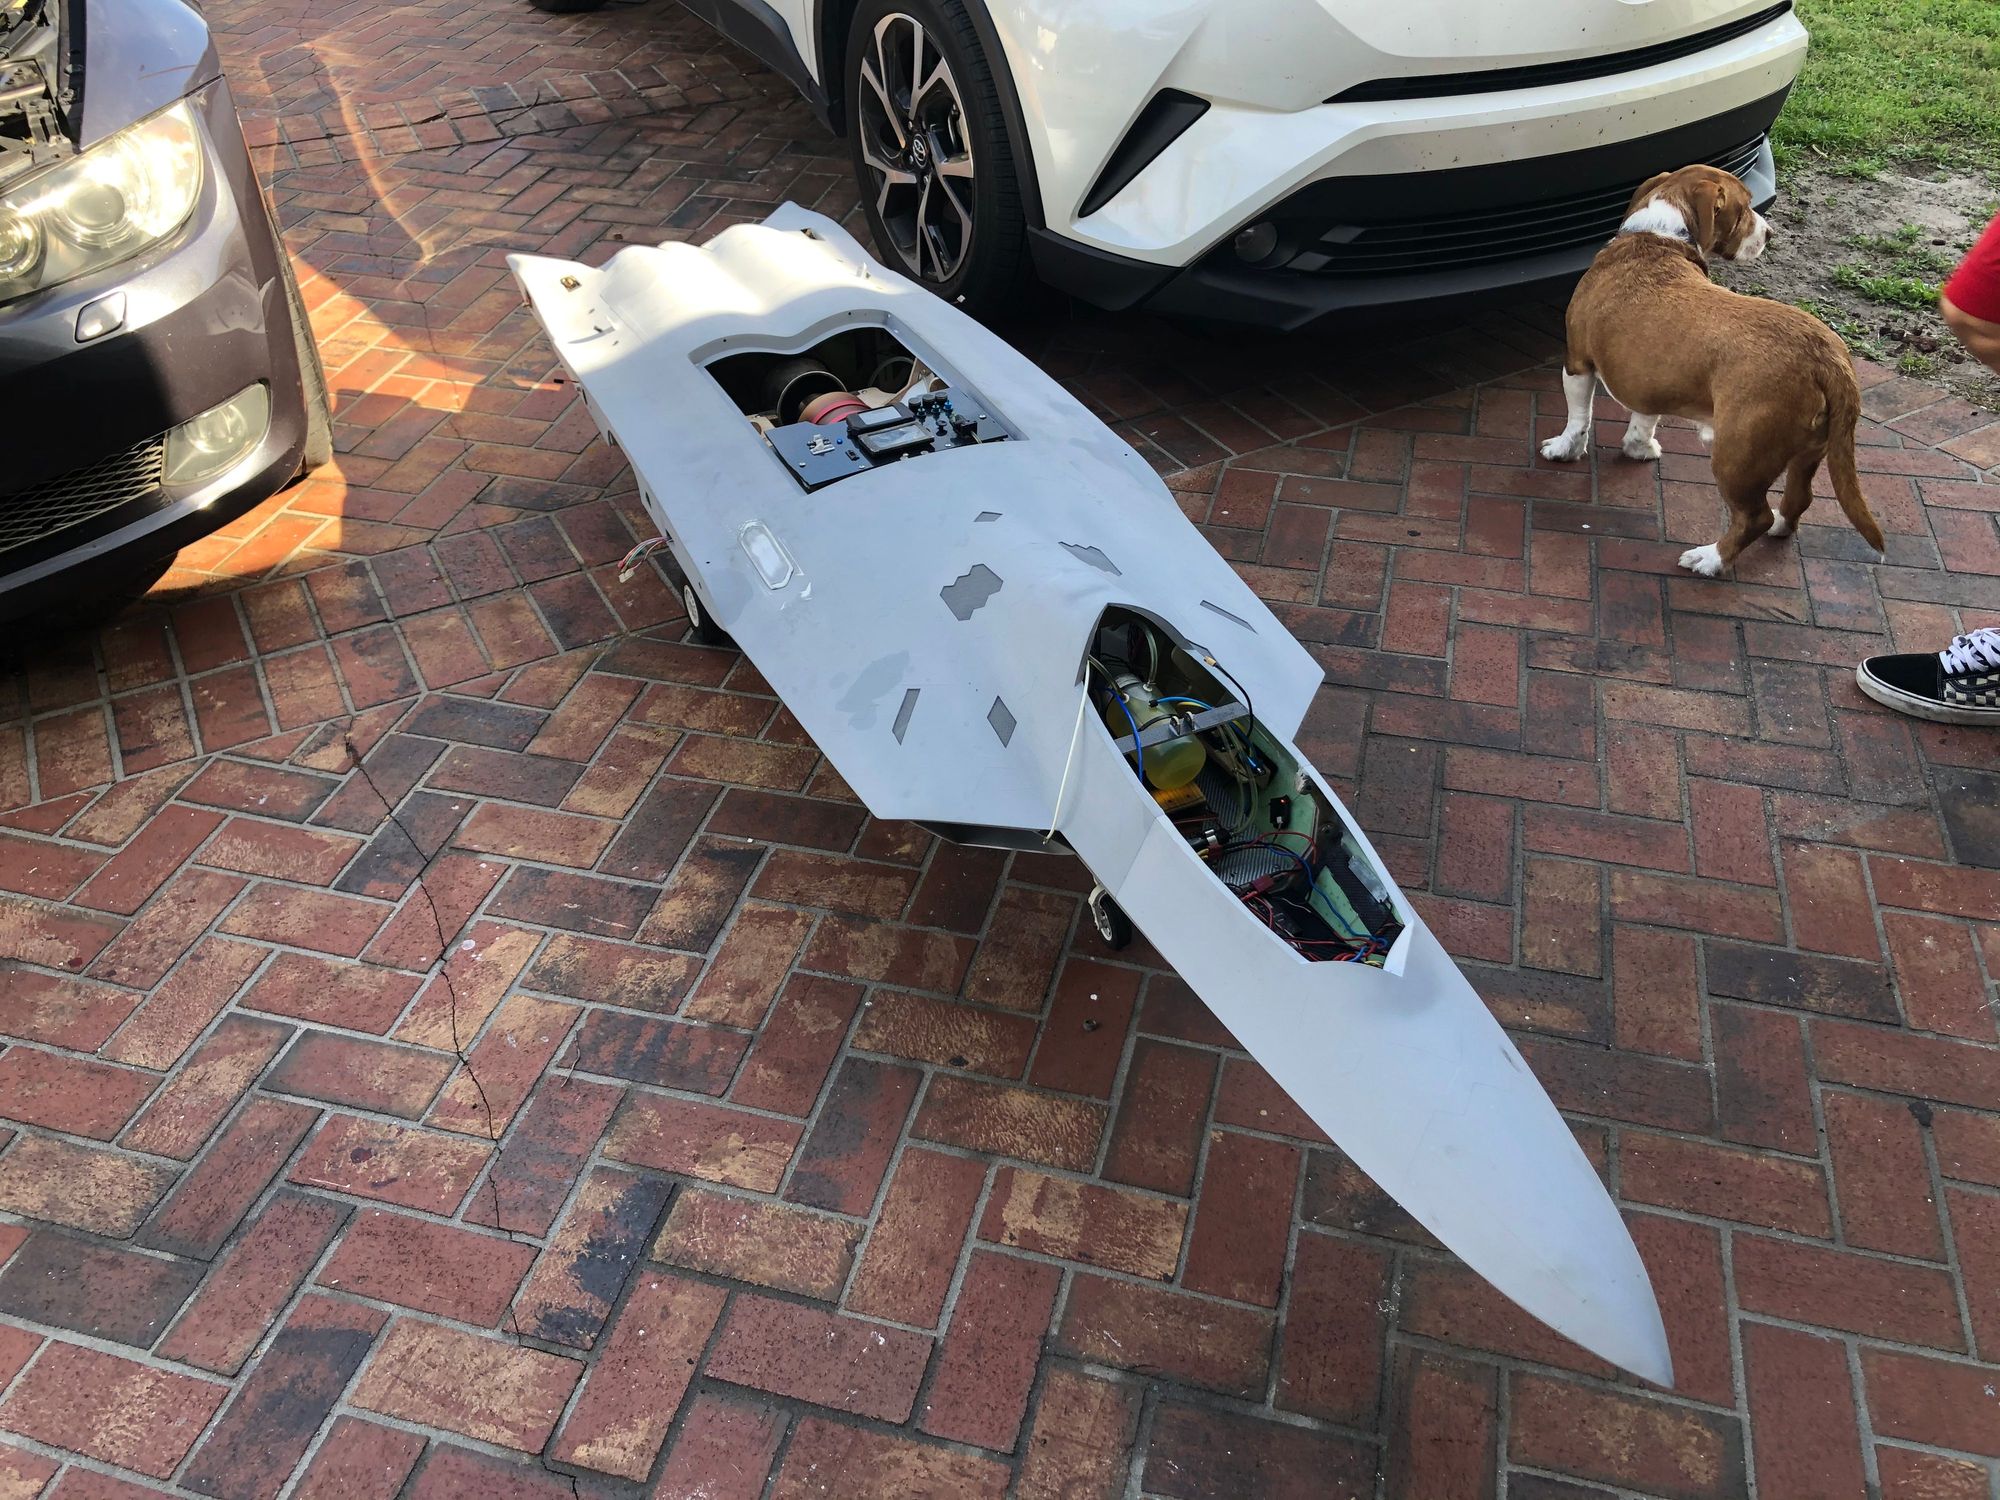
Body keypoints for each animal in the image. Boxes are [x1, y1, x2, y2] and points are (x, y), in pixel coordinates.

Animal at [1540, 164, 1885, 577]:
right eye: (1744, 208)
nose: (1770, 233)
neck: (1658, 236)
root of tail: (1826, 356)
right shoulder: (1650, 379)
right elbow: (1643, 419)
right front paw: (1639, 447)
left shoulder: (1577, 362)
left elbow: (1578, 418)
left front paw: (1564, 449)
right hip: (1808, 452)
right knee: (1798, 498)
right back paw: (1780, 526)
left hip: (1736, 457)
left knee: (1753, 517)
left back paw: (1710, 558)